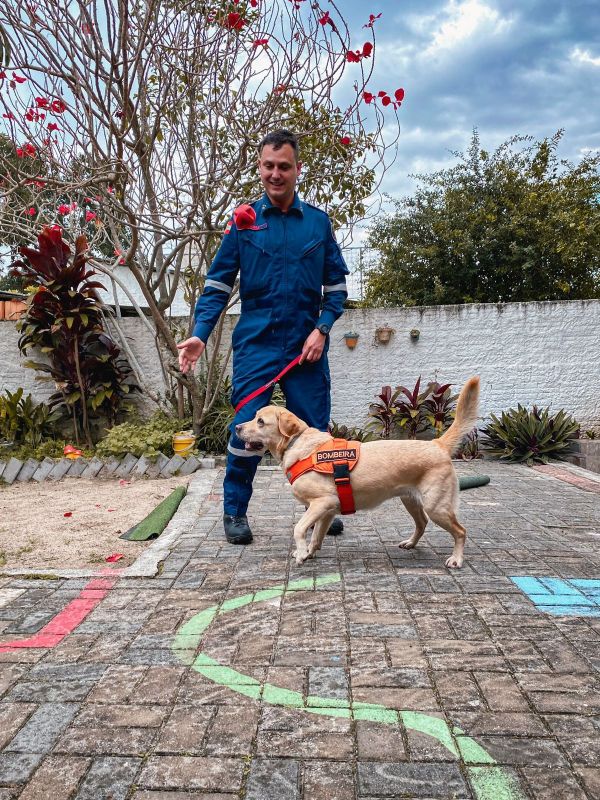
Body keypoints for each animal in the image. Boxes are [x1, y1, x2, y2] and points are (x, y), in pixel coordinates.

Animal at [236, 376, 480, 569]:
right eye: (254, 417)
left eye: (260, 421)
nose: (237, 427)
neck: (297, 444)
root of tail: (437, 444)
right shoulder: (327, 511)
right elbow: (316, 535)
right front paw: (308, 552)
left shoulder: (322, 502)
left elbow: (299, 529)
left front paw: (302, 552)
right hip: (411, 500)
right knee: (422, 523)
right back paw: (411, 543)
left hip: (436, 506)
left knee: (461, 531)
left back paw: (456, 559)